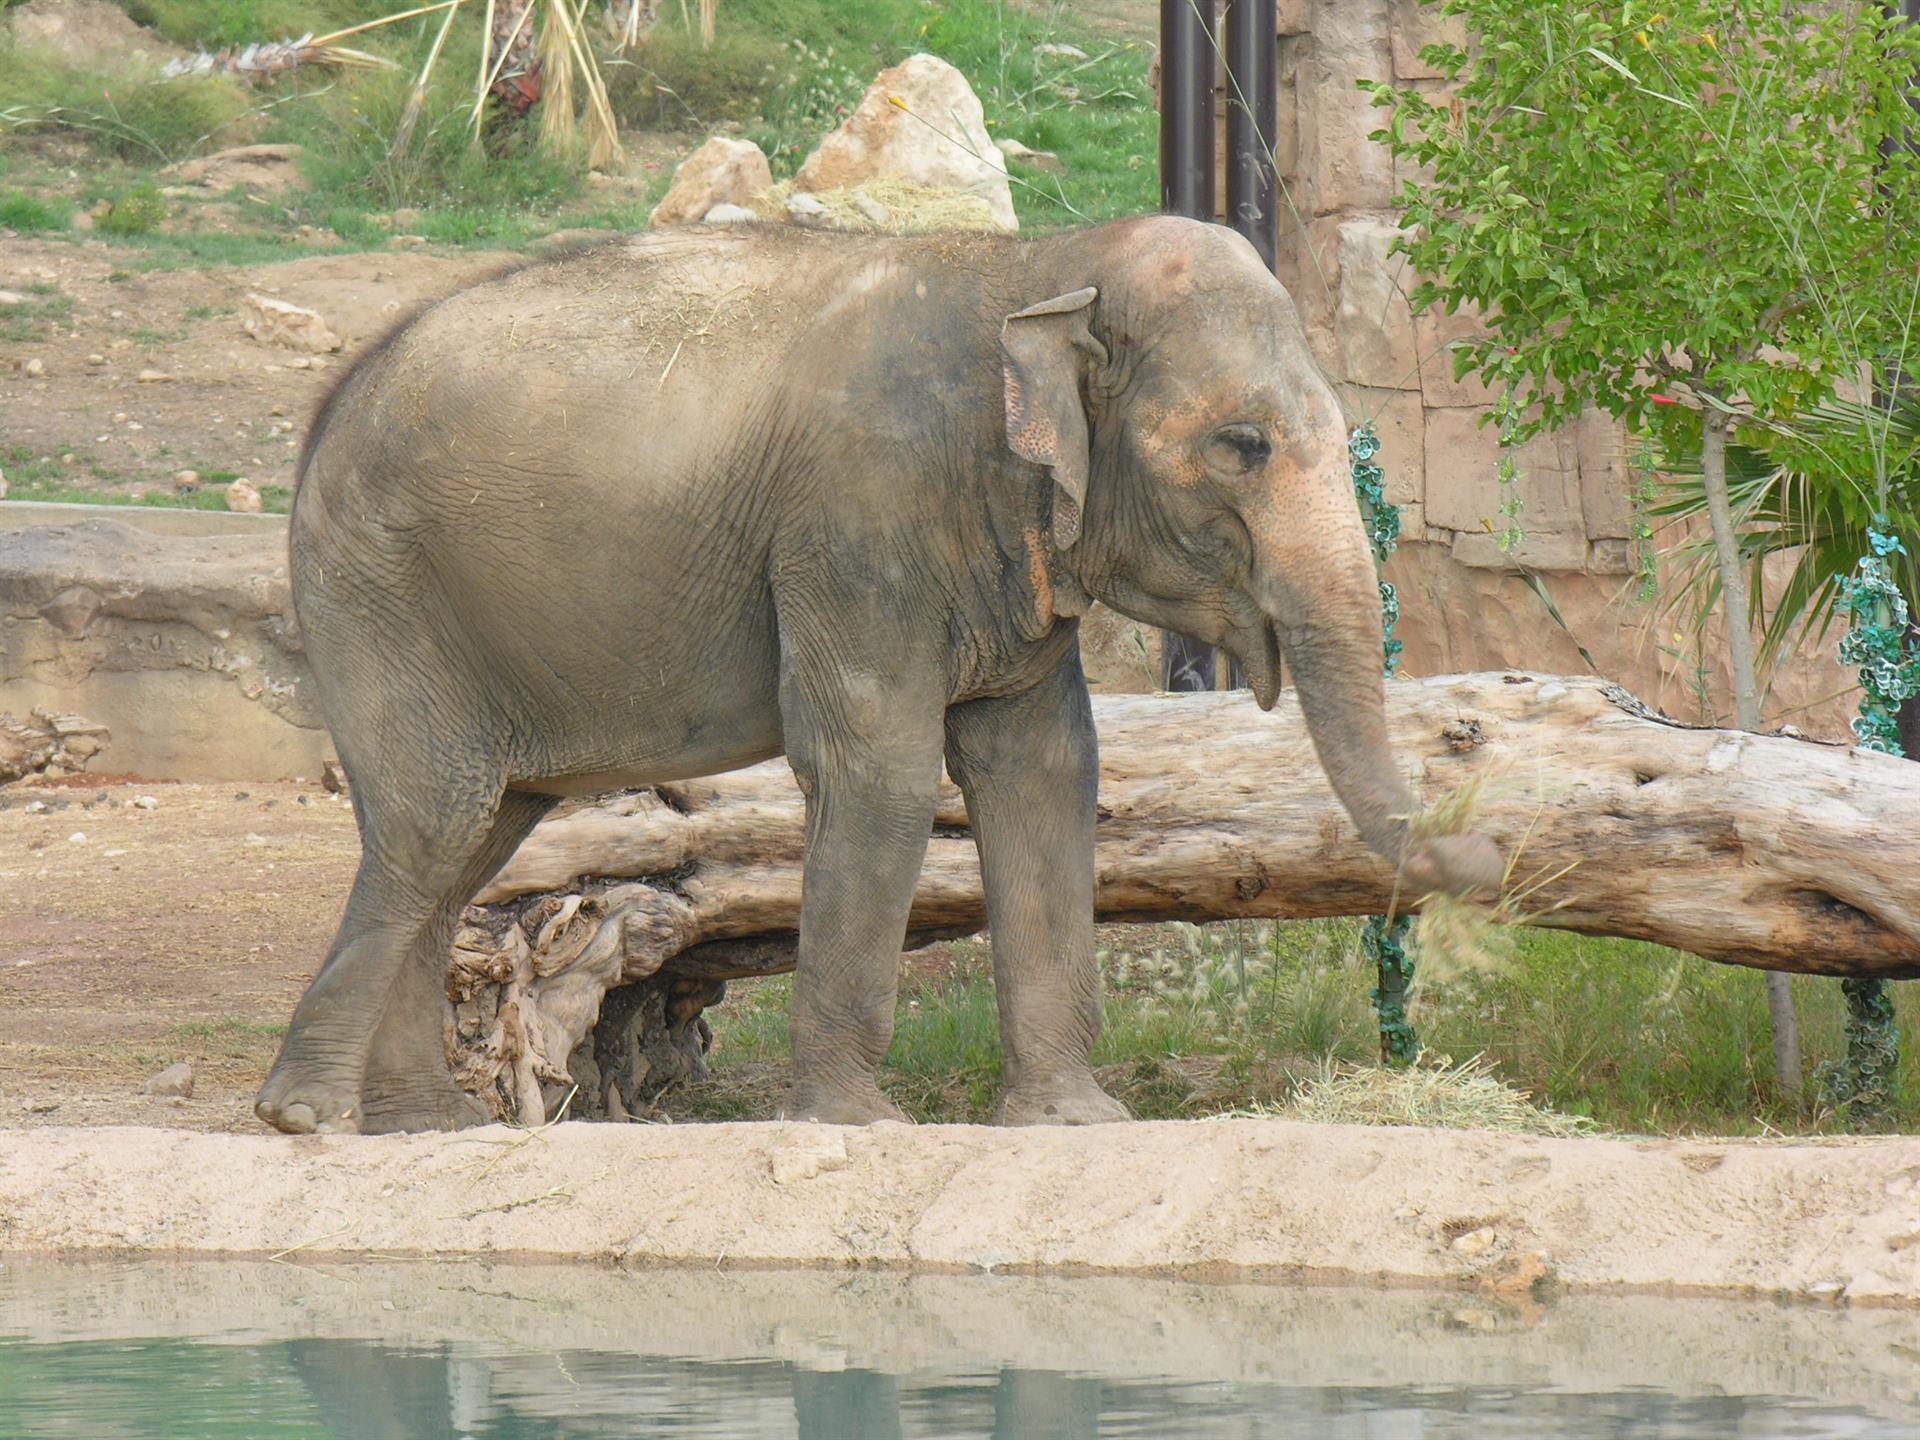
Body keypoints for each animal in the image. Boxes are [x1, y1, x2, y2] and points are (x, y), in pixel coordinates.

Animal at [257, 215, 1501, 1136]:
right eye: (1241, 447)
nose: (1491, 834)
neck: (1038, 267)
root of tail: (330, 402)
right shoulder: (856, 527)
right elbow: (887, 774)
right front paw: (858, 1127)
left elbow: (1046, 771)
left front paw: (1074, 1125)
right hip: (383, 595)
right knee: (433, 823)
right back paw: (307, 1119)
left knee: (470, 841)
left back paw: (425, 1128)